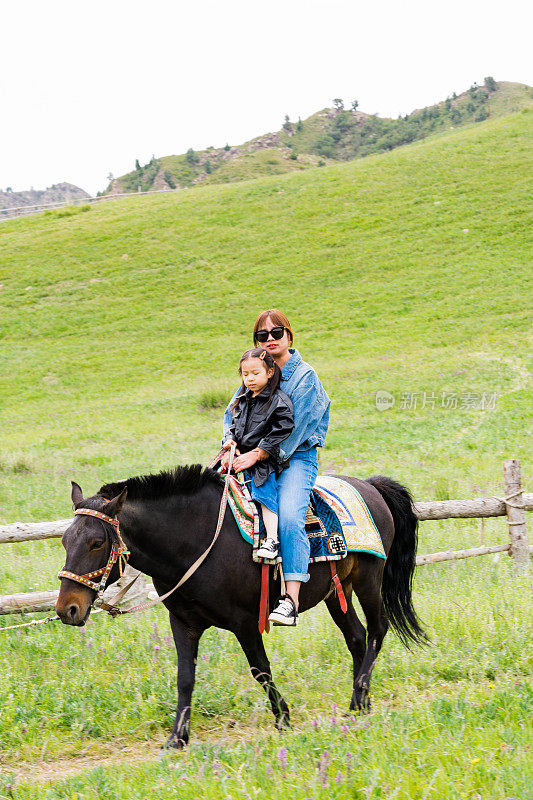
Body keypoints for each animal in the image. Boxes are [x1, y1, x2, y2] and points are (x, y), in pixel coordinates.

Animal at [56, 466, 426, 748]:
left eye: (97, 542)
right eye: (64, 541)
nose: (66, 609)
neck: (197, 541)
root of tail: (370, 486)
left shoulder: (245, 622)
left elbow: (260, 669)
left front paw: (283, 718)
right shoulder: (183, 623)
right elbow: (185, 677)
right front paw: (177, 737)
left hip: (369, 580)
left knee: (377, 630)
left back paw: (360, 694)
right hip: (337, 591)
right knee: (357, 638)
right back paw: (359, 703)